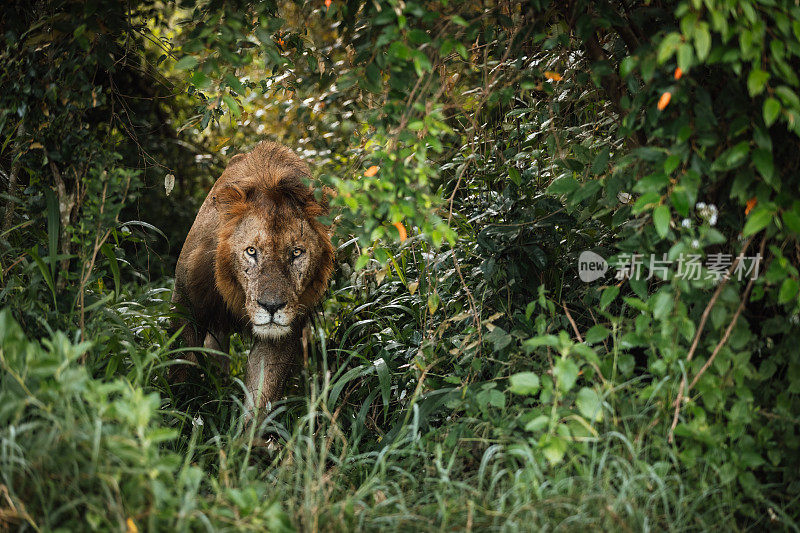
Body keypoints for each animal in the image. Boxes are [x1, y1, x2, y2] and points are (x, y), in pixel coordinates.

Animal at [172, 140, 334, 412]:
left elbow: (262, 395)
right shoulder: (187, 305)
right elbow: (179, 367)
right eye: (251, 251)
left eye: (296, 252)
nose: (271, 307)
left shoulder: (283, 332)